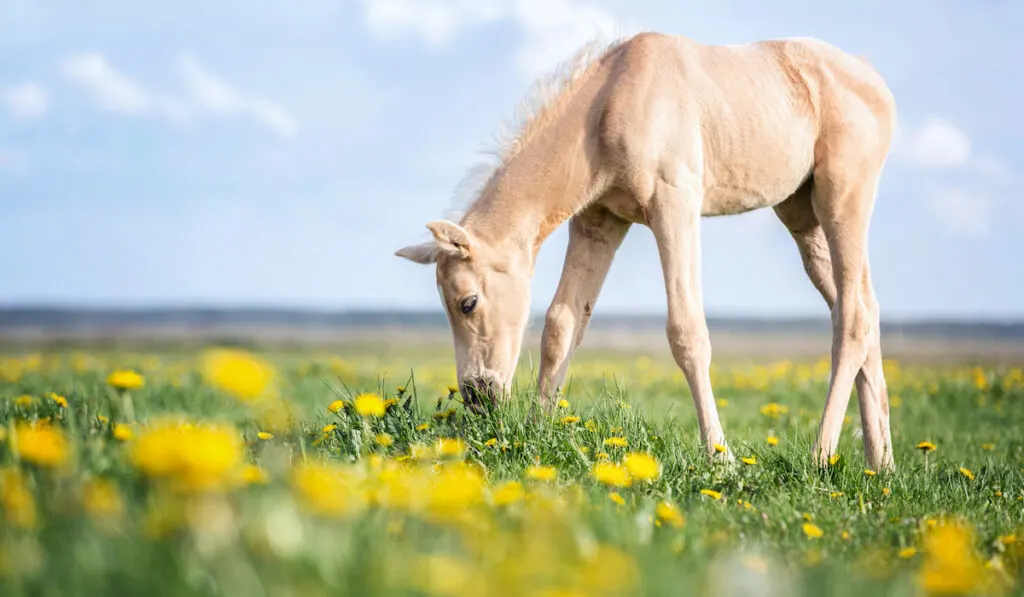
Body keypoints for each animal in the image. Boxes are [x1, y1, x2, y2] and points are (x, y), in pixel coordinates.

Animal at [397, 31, 897, 471]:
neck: (608, 106)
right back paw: (882, 465)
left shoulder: (674, 205)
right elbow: (561, 325)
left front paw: (722, 458)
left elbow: (686, 331)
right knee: (863, 308)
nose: (478, 398)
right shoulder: (598, 222)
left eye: (468, 302)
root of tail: (876, 82)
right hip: (800, 214)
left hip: (841, 199)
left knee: (852, 315)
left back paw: (820, 457)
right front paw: (535, 434)